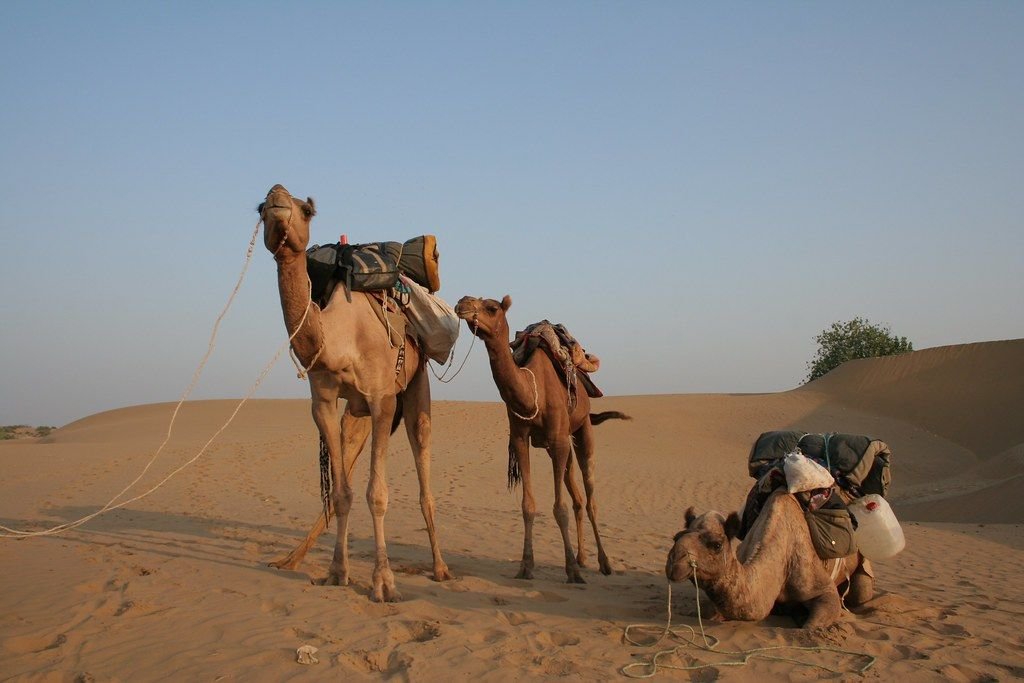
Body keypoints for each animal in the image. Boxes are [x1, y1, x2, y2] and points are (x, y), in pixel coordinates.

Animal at [258, 184, 452, 602]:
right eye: (261, 207)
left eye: (306, 210)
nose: (277, 193)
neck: (339, 338)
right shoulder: (324, 403)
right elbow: (342, 493)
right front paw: (337, 572)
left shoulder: (383, 399)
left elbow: (376, 494)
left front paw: (384, 582)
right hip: (355, 414)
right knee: (344, 470)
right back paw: (290, 559)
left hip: (416, 386)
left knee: (423, 467)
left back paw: (441, 568)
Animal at [454, 295, 630, 583]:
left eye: (492, 307)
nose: (462, 303)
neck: (533, 389)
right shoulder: (521, 438)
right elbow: (528, 505)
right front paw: (526, 566)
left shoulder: (557, 440)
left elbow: (559, 508)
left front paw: (571, 571)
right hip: (561, 444)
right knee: (577, 498)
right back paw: (582, 558)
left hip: (581, 429)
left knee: (590, 497)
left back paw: (604, 563)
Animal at [665, 489, 874, 629]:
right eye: (676, 537)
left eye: (716, 545)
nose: (674, 562)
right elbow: (709, 612)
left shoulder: (820, 585)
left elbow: (812, 624)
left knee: (861, 593)